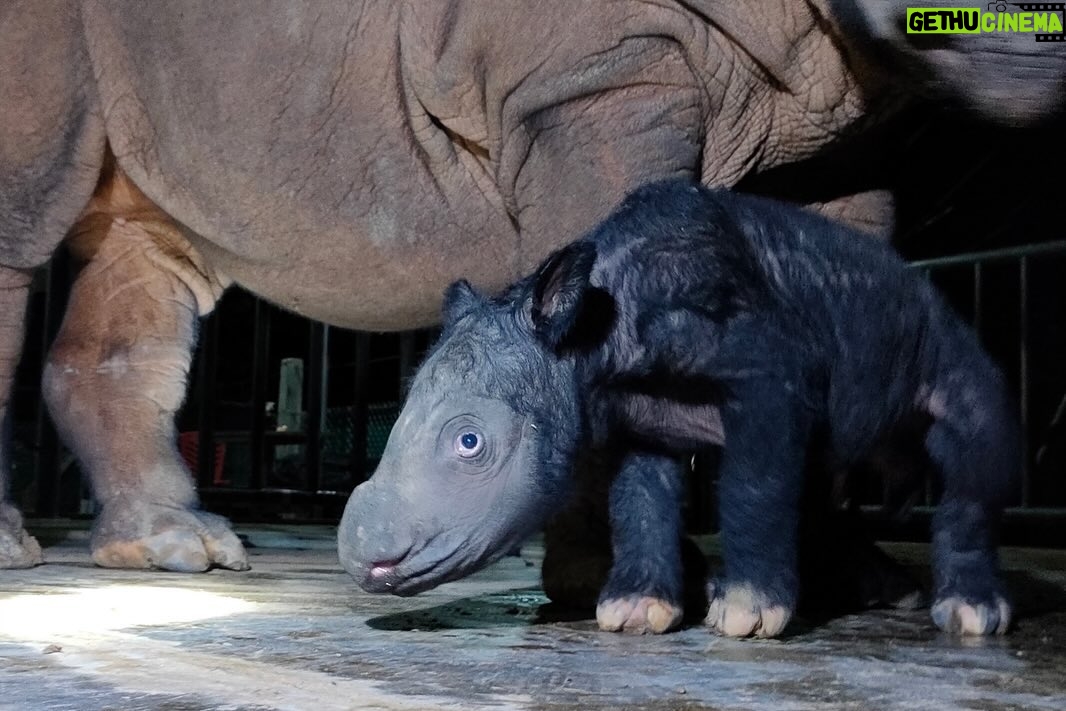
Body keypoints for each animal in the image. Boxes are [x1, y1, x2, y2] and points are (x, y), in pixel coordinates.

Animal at [0, 1, 1062, 573]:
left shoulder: (850, 128)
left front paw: (839, 576)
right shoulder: (590, 77)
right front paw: (610, 583)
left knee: (150, 245)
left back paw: (175, 548)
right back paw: (29, 551)